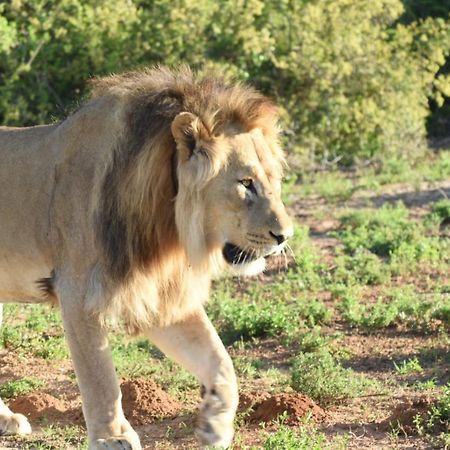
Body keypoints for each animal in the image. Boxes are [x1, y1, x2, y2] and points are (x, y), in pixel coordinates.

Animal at [0, 67, 292, 450]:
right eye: (246, 183)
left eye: (275, 180)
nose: (285, 236)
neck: (168, 223)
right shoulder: (78, 291)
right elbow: (100, 377)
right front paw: (112, 437)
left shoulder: (158, 293)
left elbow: (220, 360)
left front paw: (215, 424)